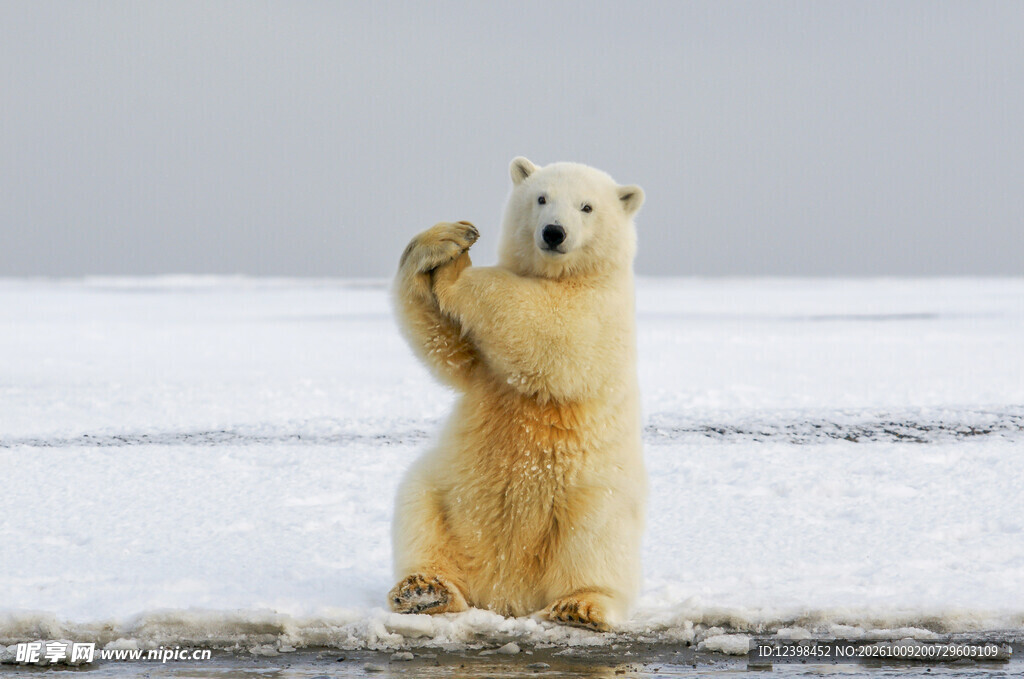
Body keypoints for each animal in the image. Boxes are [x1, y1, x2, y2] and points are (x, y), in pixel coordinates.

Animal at [389, 157, 646, 631]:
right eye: (541, 198)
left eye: (587, 207)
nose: (554, 232)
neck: (563, 274)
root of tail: (506, 592)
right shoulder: (482, 368)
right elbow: (448, 347)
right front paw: (448, 240)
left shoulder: (602, 308)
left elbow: (551, 327)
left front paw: (457, 273)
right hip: (445, 489)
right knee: (419, 511)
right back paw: (424, 590)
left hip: (594, 494)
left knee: (595, 540)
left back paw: (578, 606)